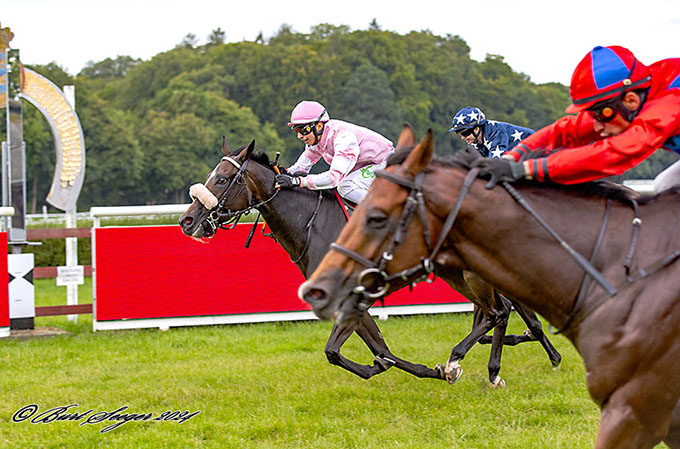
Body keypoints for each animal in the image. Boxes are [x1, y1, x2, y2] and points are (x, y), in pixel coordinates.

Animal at [178, 128, 560, 386]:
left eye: (223, 179)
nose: (187, 221)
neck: (313, 223)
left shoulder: (353, 295)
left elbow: (337, 350)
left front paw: (431, 368)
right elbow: (372, 348)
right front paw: (413, 368)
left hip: (472, 274)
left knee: (498, 311)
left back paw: (463, 359)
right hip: (460, 275)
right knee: (501, 310)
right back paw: (497, 368)